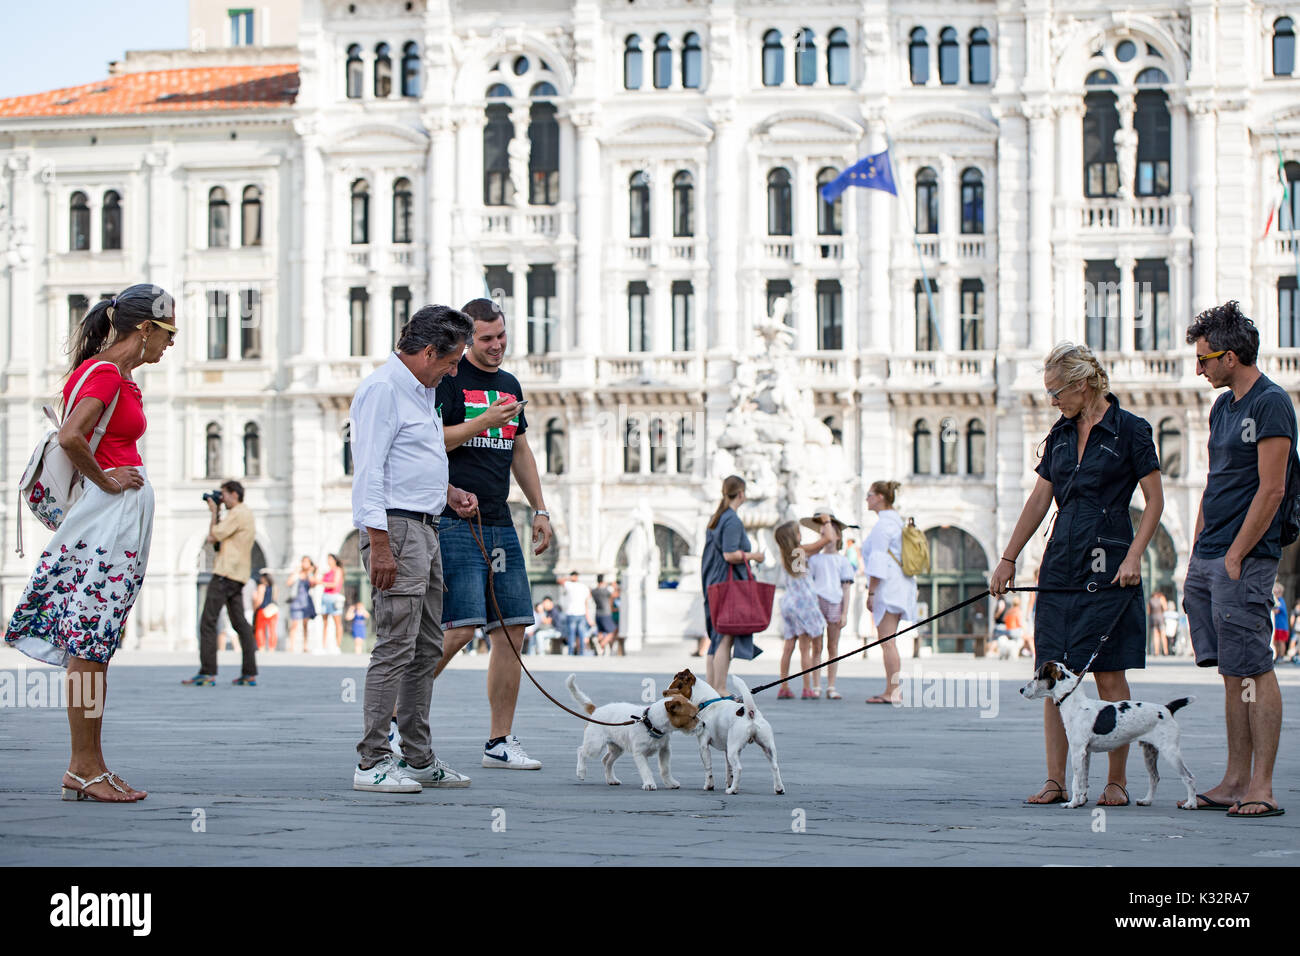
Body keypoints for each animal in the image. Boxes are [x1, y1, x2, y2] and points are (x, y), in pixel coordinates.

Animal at [564, 671, 696, 790]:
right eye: (693, 716)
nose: (701, 724)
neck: (650, 722)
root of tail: (596, 710)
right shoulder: (639, 753)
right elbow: (646, 770)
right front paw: (649, 784)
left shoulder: (665, 750)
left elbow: (665, 769)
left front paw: (670, 783)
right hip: (595, 746)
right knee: (581, 751)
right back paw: (581, 771)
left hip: (617, 748)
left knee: (606, 761)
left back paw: (611, 779)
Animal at [1013, 660, 1196, 811]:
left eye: (1036, 677)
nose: (1021, 690)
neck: (1074, 702)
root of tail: (1168, 708)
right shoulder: (1086, 753)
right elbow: (1083, 781)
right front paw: (1080, 801)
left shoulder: (1077, 752)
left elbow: (1075, 781)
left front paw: (1072, 803)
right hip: (1150, 751)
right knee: (1154, 778)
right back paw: (1147, 801)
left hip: (1170, 752)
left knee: (1188, 777)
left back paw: (1190, 804)